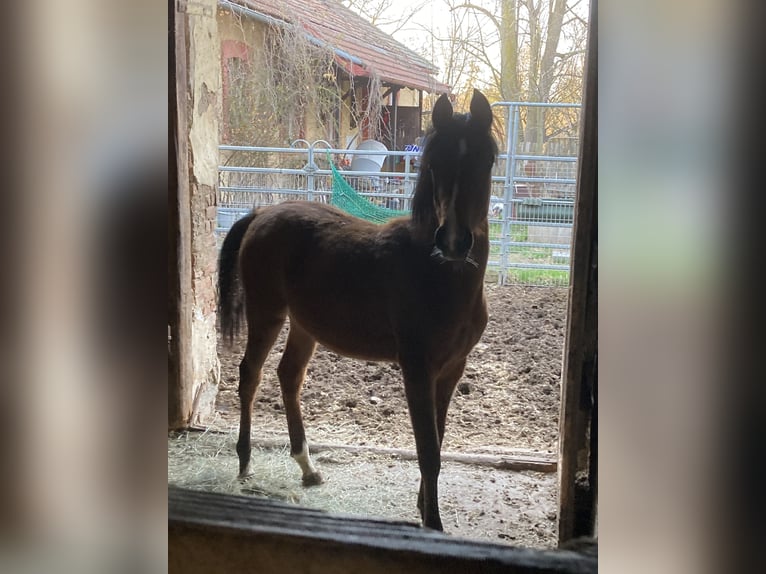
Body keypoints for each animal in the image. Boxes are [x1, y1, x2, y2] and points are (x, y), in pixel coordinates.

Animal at [217, 89, 497, 531]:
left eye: (484, 162)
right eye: (434, 165)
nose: (453, 242)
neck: (438, 274)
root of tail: (262, 213)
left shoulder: (451, 370)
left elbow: (437, 442)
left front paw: (424, 508)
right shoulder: (417, 369)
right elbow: (428, 453)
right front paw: (431, 523)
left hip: (304, 325)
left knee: (288, 376)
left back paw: (307, 468)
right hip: (267, 314)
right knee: (251, 375)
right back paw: (245, 463)